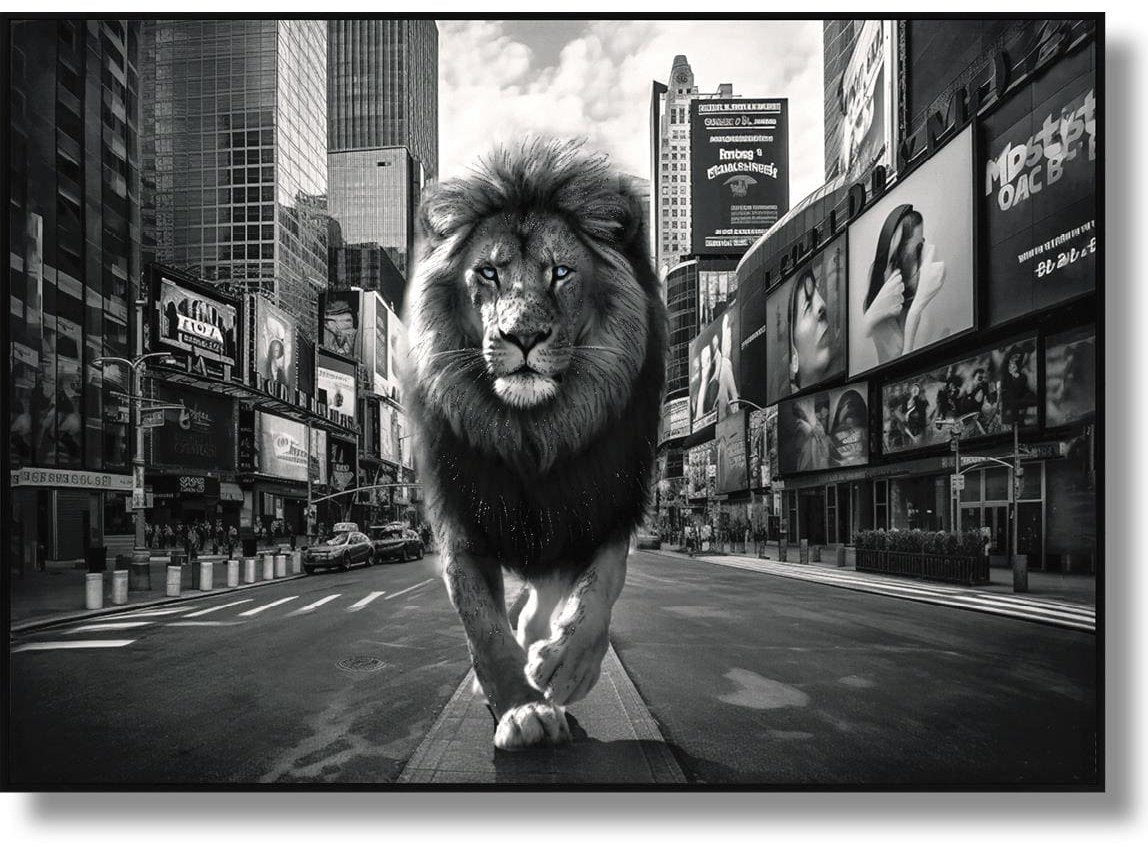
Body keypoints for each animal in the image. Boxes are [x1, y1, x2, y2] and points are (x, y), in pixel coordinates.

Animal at [399, 139, 667, 751]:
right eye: (488, 273)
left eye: (561, 272)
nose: (522, 337)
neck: (533, 433)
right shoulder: (459, 513)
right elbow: (480, 620)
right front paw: (520, 708)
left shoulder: (610, 499)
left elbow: (600, 587)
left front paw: (568, 667)